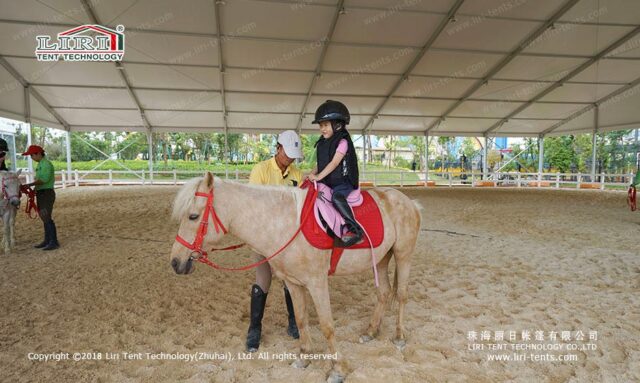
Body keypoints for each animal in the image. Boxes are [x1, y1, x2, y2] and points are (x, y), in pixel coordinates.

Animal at [170, 175, 422, 383]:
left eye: (193, 216)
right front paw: (304, 357)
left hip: (403, 255)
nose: (175, 262)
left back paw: (399, 336)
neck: (286, 223)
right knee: (383, 293)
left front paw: (338, 369)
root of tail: (409, 202)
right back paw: (370, 332)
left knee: (401, 295)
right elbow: (301, 320)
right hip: (380, 259)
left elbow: (327, 326)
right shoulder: (293, 283)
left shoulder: (317, 283)